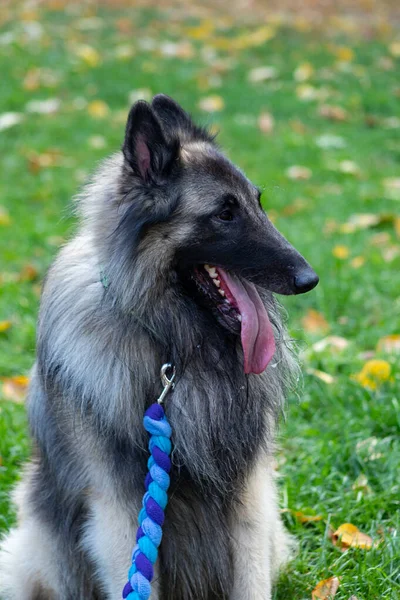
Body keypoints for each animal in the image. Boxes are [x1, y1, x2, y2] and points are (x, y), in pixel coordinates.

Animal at [0, 96, 318, 596]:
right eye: (224, 214)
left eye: (258, 203)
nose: (309, 279)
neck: (175, 345)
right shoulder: (118, 511)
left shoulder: (250, 497)